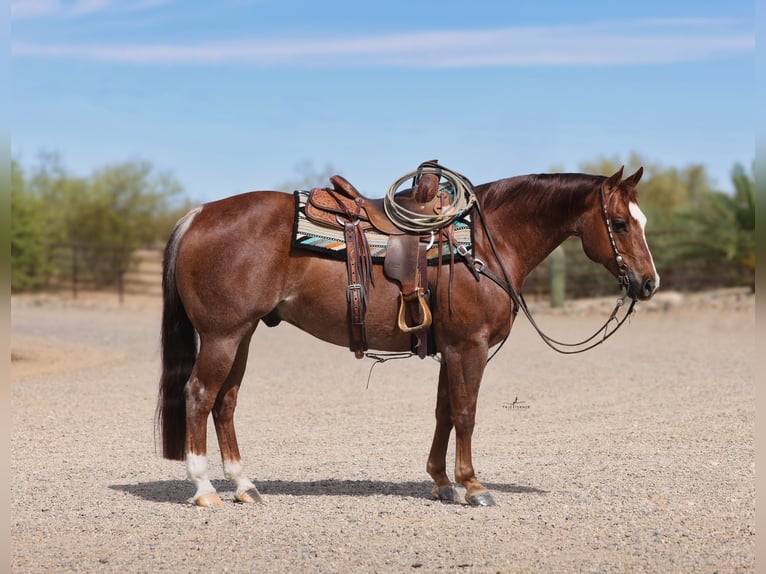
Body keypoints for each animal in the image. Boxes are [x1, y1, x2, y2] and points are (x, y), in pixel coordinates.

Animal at [156, 165, 659, 507]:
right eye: (619, 223)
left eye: (642, 221)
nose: (648, 283)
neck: (487, 241)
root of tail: (197, 215)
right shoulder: (470, 346)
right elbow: (466, 413)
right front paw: (473, 486)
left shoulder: (450, 348)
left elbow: (443, 413)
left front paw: (441, 481)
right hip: (222, 336)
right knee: (199, 395)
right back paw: (204, 488)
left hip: (241, 336)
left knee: (225, 402)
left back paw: (245, 486)